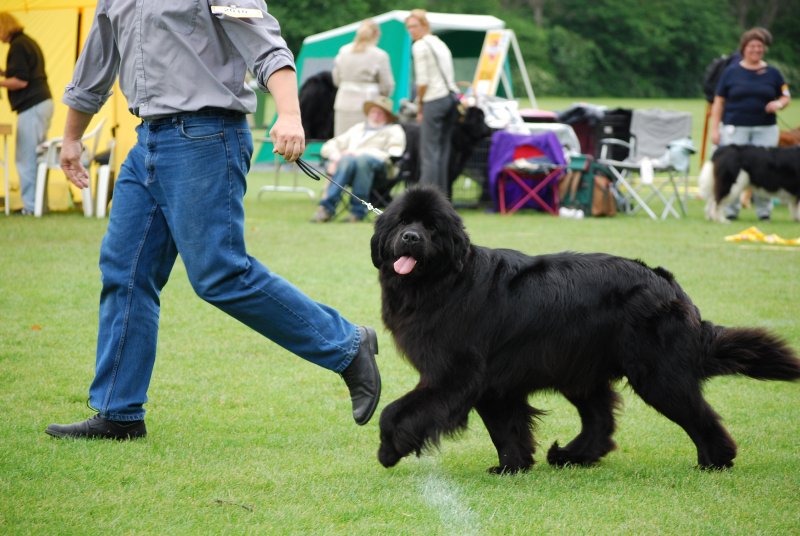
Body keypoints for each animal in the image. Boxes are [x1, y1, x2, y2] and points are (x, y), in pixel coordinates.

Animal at [371, 186, 800, 473]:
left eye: (431, 228)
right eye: (401, 222)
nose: (410, 237)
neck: (445, 281)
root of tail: (669, 285)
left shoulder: (456, 375)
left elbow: (395, 411)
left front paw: (389, 450)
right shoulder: (494, 382)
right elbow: (506, 428)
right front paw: (513, 466)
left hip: (655, 373)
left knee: (696, 413)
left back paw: (715, 461)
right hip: (580, 367)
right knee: (600, 419)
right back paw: (571, 456)